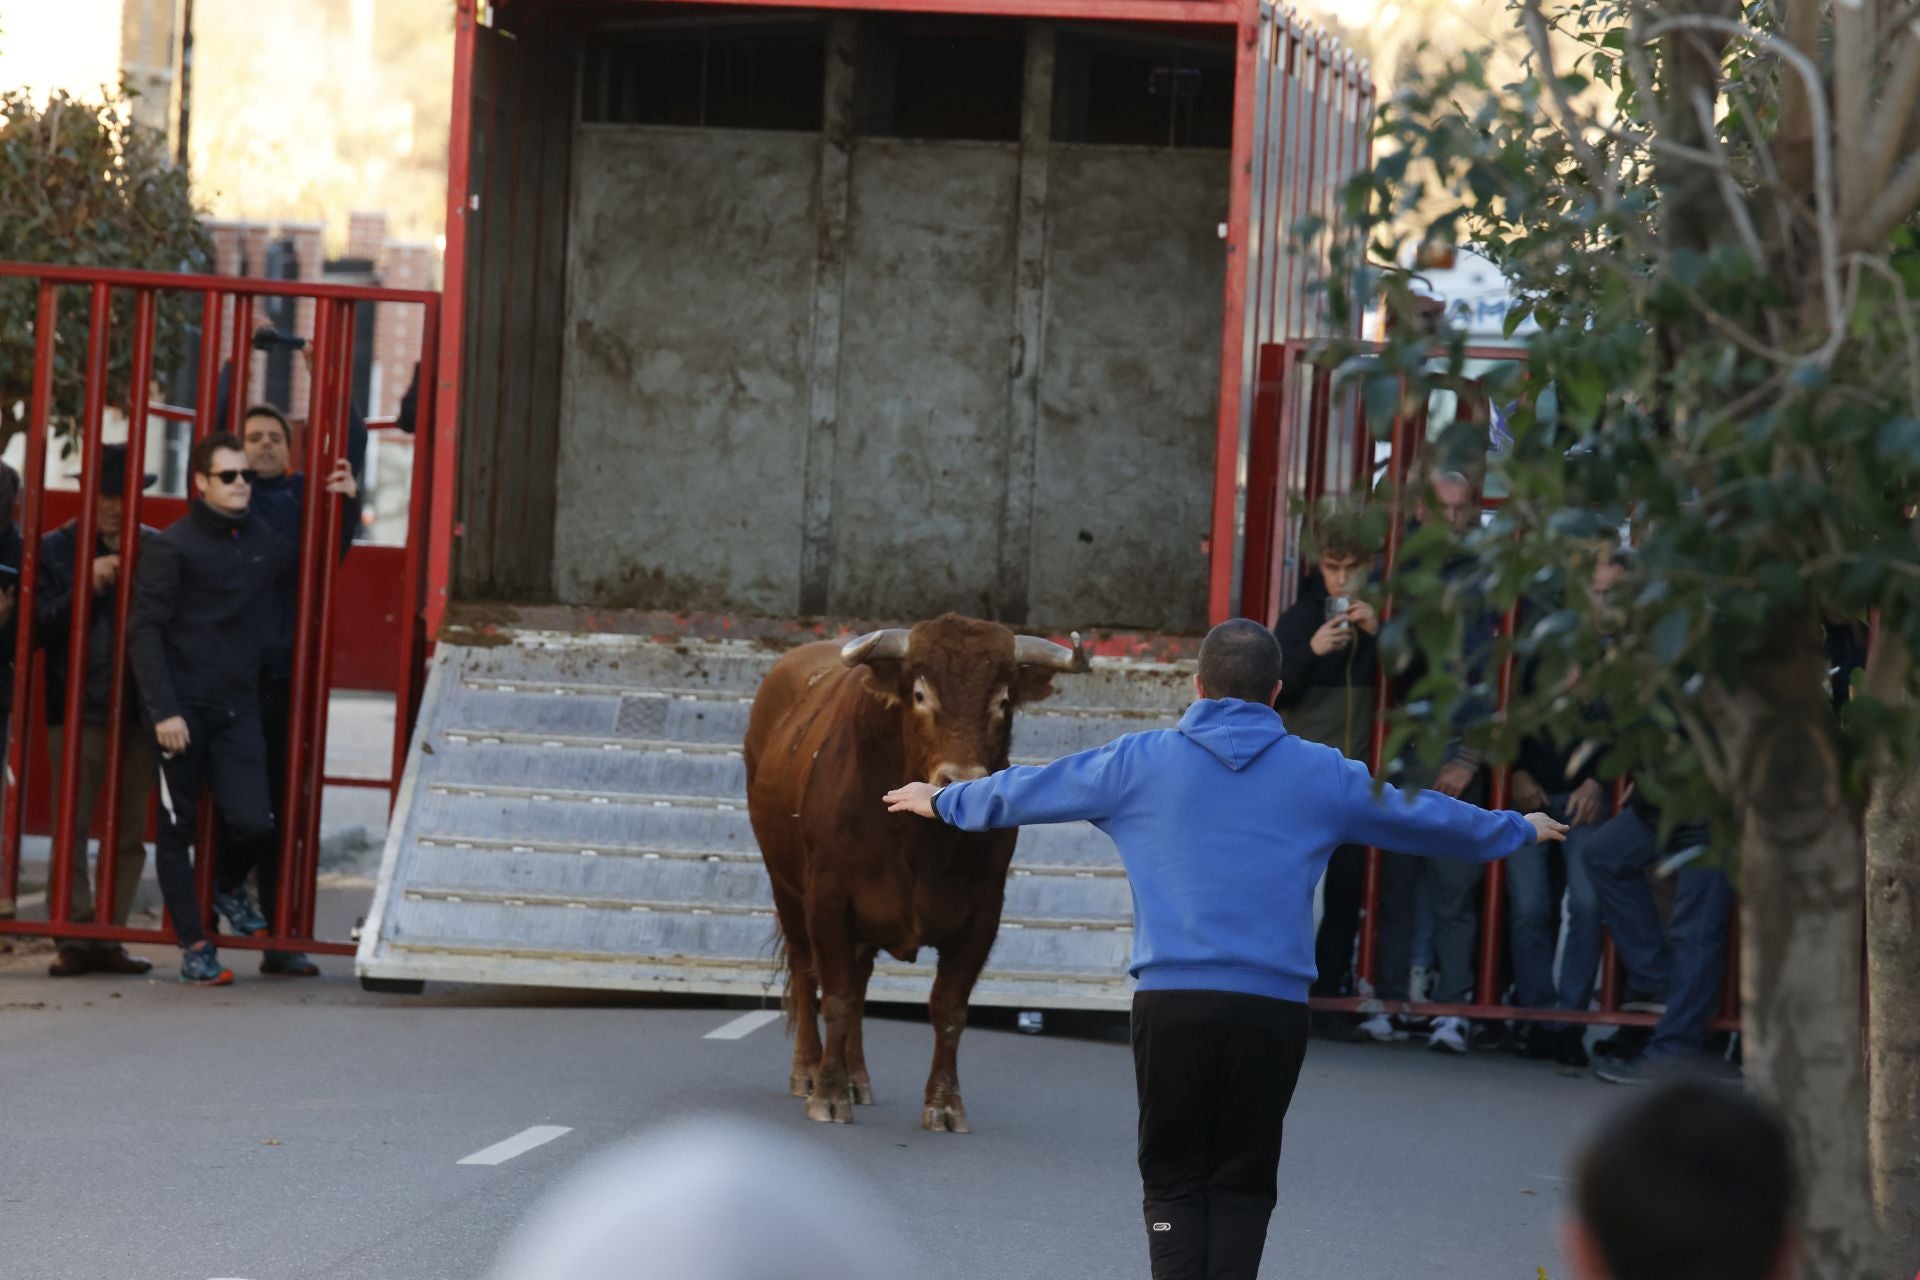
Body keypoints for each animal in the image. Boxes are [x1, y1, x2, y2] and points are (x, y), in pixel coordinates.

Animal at [744, 617, 1090, 1128]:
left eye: (1002, 702)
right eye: (921, 695)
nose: (959, 781)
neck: (920, 844)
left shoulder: (984, 912)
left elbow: (948, 1007)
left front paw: (944, 1104)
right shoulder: (828, 898)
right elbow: (837, 997)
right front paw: (828, 1095)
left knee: (861, 981)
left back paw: (857, 1077)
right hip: (785, 888)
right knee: (807, 974)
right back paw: (808, 1070)